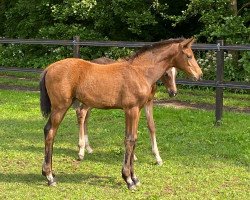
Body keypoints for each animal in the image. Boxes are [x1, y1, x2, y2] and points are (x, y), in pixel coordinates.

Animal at [40, 37, 202, 189]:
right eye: (189, 55)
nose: (199, 75)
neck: (140, 72)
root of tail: (49, 68)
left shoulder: (137, 109)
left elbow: (134, 138)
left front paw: (135, 177)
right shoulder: (131, 109)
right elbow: (130, 140)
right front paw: (128, 179)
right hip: (61, 107)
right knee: (51, 131)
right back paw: (50, 176)